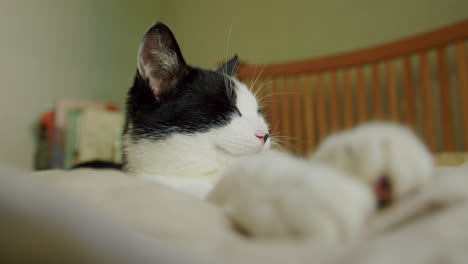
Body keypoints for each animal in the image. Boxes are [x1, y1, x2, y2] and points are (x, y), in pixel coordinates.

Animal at [122, 22, 434, 241]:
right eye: (227, 109)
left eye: (258, 112)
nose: (265, 133)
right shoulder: (155, 184)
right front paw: (298, 191)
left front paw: (366, 147)